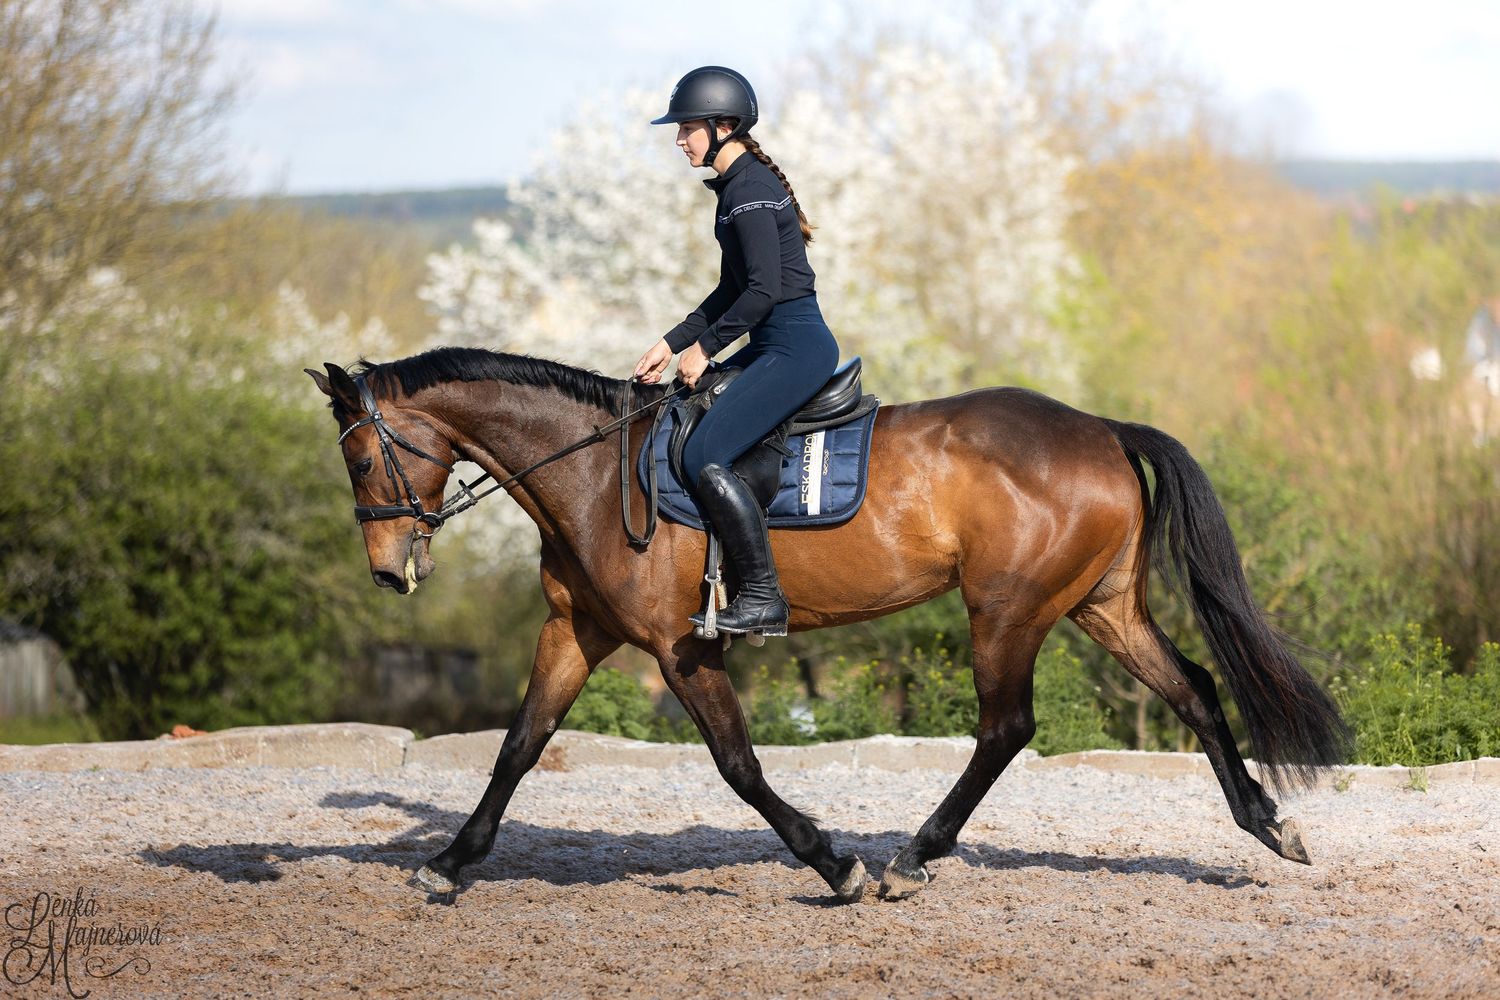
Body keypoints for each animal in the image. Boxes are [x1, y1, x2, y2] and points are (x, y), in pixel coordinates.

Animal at [306, 346, 1348, 903]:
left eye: (359, 458)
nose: (390, 571)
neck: (594, 474)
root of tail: (1099, 427)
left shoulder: (681, 651)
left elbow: (738, 765)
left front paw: (833, 863)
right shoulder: (578, 631)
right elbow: (520, 747)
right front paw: (448, 865)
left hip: (1006, 609)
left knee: (1006, 727)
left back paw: (909, 860)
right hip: (1101, 606)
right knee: (1195, 690)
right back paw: (1269, 825)